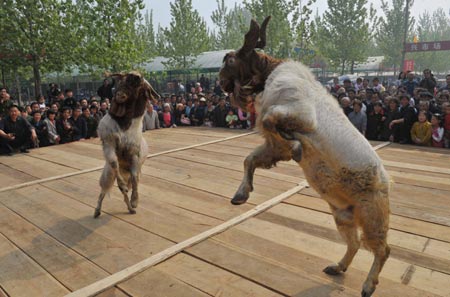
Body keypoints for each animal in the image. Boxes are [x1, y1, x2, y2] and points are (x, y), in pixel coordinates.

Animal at [93, 71, 160, 217]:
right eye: (121, 80)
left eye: (139, 84)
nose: (119, 95)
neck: (124, 125)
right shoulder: (109, 144)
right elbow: (114, 163)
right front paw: (123, 186)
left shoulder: (134, 154)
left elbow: (134, 178)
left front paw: (135, 201)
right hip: (107, 174)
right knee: (104, 190)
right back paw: (97, 210)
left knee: (127, 190)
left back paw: (131, 208)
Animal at [220, 16, 392, 296]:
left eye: (231, 59)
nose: (220, 81)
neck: (269, 75)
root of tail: (387, 184)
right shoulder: (273, 146)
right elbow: (250, 159)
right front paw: (240, 195)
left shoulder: (299, 114)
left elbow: (270, 123)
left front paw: (297, 146)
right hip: (342, 214)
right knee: (355, 243)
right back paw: (337, 267)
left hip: (373, 215)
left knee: (383, 249)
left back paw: (367, 285)